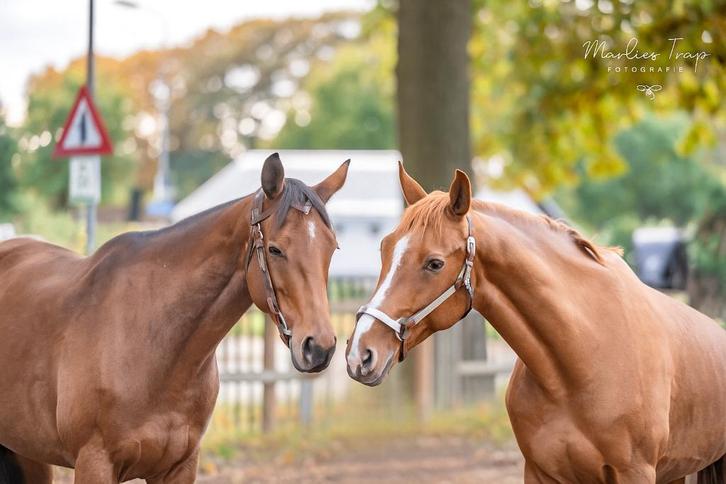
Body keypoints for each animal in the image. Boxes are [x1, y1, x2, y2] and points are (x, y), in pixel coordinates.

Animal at [345, 162, 726, 483]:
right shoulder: (541, 472)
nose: (360, 354)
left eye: (435, 263)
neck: (582, 358)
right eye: (384, 248)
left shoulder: (635, 472)